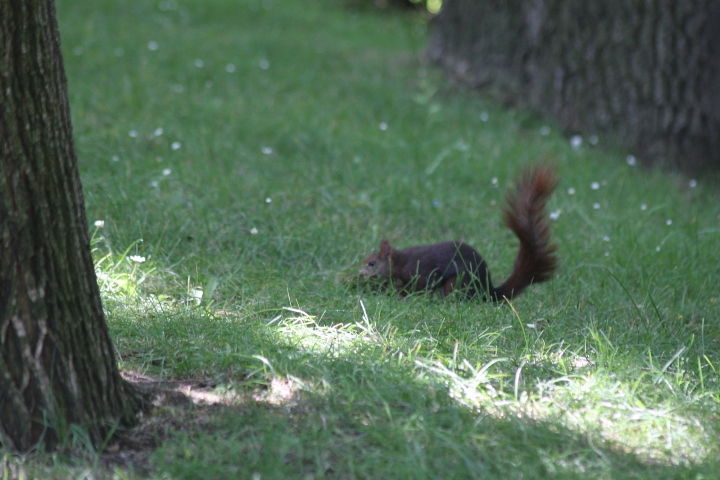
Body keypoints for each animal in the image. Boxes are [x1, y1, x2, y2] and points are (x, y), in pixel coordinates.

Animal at [359, 164, 559, 301]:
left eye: (372, 263)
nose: (360, 273)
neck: (401, 262)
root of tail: (487, 291)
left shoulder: (423, 272)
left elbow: (422, 285)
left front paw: (401, 294)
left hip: (457, 282)